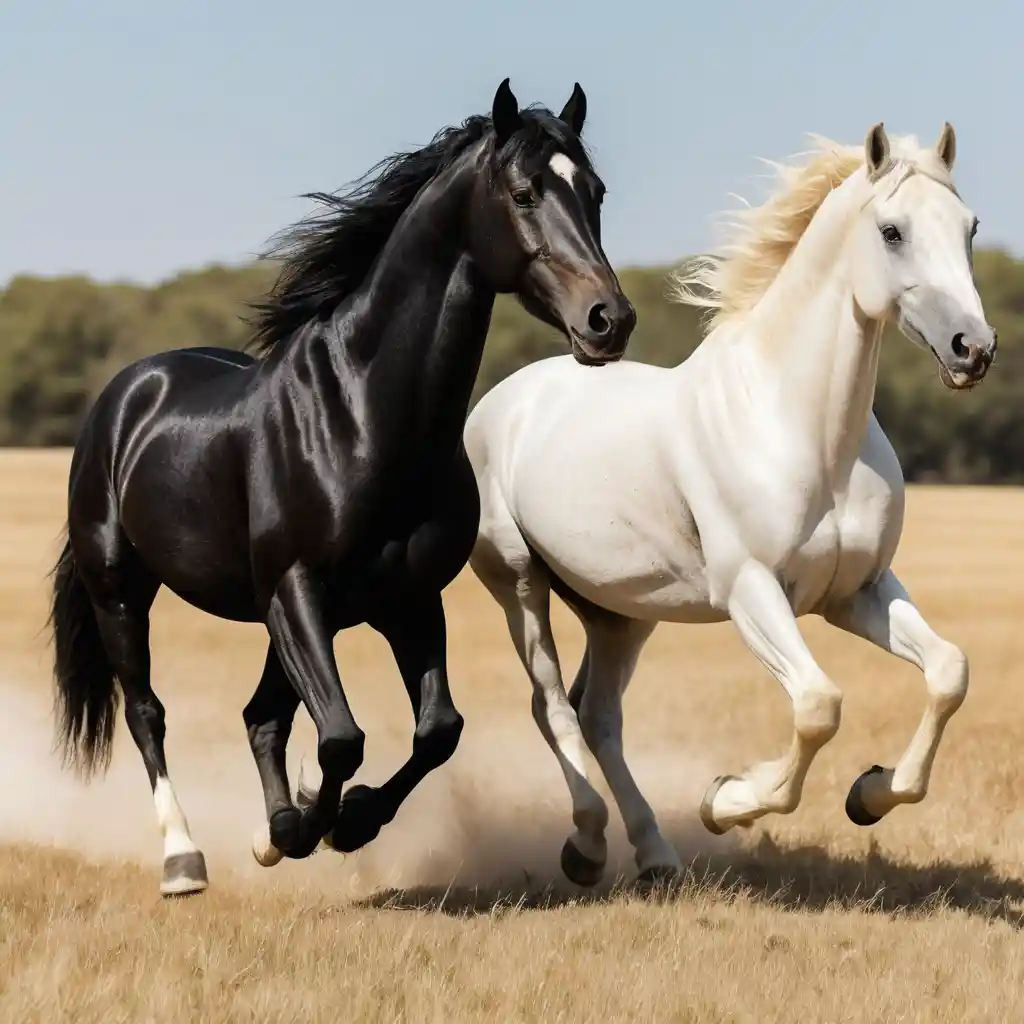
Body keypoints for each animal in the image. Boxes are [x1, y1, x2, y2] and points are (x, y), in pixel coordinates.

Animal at [49, 78, 636, 897]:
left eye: (596, 191)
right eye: (523, 193)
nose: (609, 320)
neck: (362, 418)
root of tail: (130, 391)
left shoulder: (407, 600)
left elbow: (436, 731)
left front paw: (333, 823)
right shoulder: (298, 589)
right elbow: (341, 739)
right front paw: (317, 825)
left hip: (275, 619)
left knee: (261, 716)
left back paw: (271, 832)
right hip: (124, 592)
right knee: (147, 713)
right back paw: (184, 860)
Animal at [465, 121, 996, 886]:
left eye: (969, 227)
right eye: (892, 231)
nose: (973, 350)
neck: (800, 428)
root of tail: (501, 401)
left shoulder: (858, 592)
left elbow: (949, 673)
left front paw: (869, 795)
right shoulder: (751, 592)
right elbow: (818, 706)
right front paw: (725, 799)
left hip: (620, 614)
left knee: (598, 716)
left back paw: (654, 855)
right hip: (520, 585)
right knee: (553, 707)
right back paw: (587, 848)